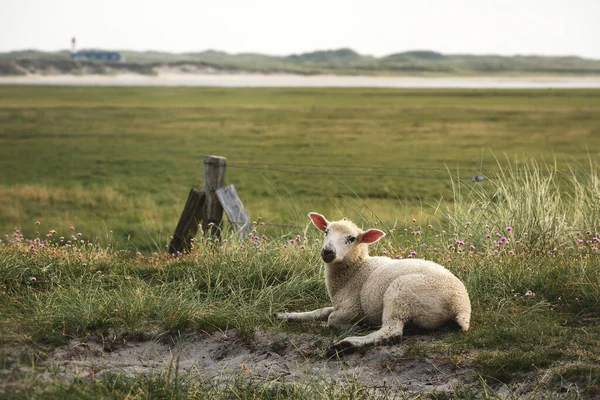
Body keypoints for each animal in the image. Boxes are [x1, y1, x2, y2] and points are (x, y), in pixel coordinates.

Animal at [274, 212, 472, 350]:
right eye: (326, 232)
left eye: (351, 238)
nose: (327, 252)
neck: (356, 270)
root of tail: (461, 306)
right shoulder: (339, 304)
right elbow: (321, 311)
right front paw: (285, 315)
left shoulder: (352, 308)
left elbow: (331, 319)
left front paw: (350, 327)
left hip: (401, 296)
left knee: (391, 332)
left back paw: (348, 343)